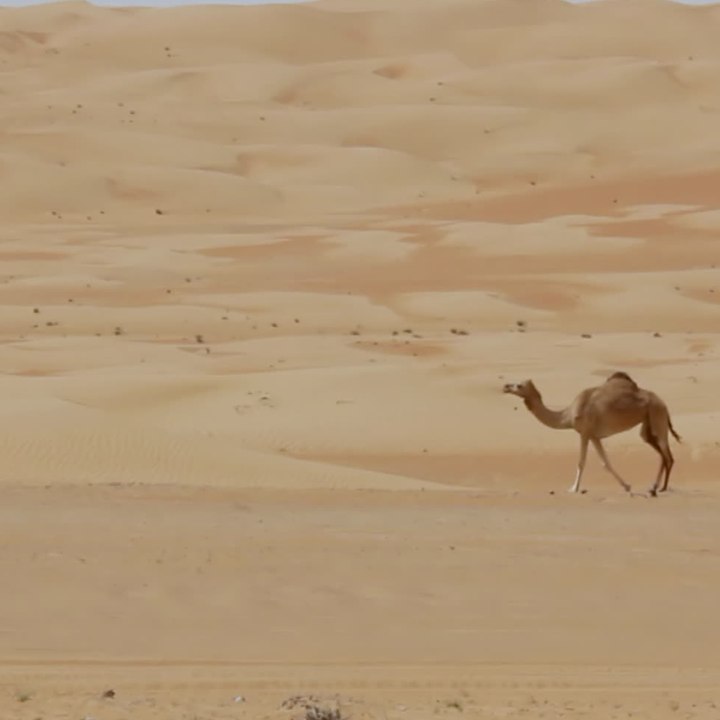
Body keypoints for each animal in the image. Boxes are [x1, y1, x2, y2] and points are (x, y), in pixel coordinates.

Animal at [502, 371, 681, 496]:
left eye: (519, 386)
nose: (505, 386)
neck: (567, 416)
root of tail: (663, 403)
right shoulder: (595, 436)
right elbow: (606, 463)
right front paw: (627, 486)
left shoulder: (585, 432)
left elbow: (581, 462)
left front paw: (573, 488)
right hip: (647, 425)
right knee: (661, 453)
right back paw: (655, 487)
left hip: (657, 415)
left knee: (667, 455)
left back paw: (658, 488)